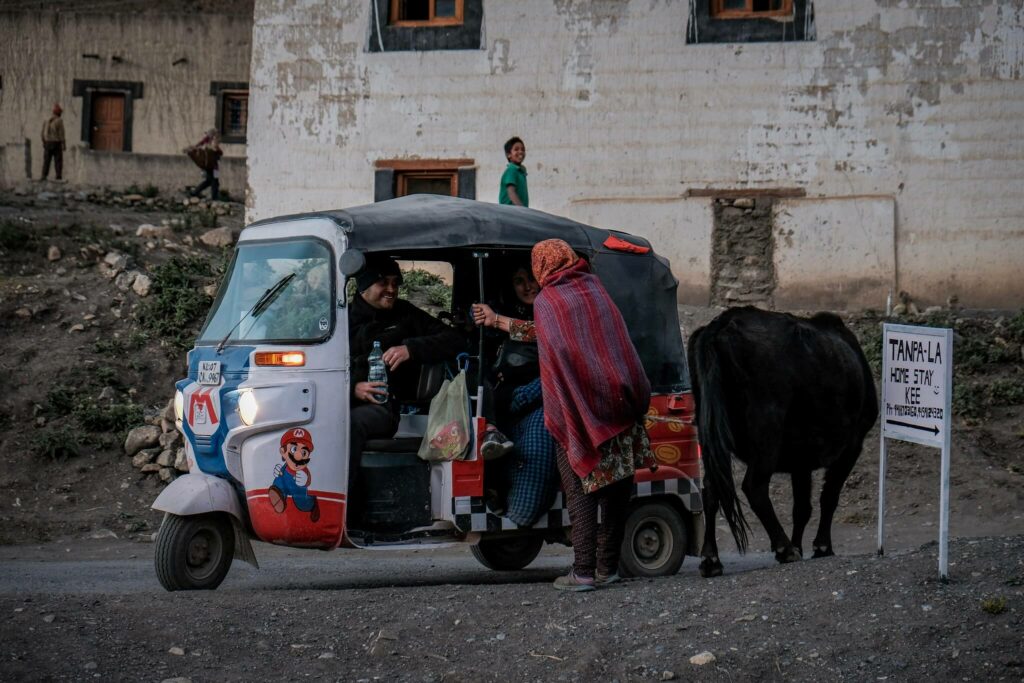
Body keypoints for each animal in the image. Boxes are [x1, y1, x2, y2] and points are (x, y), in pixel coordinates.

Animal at [684, 305, 876, 577]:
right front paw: (821, 546)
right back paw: (784, 548)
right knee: (754, 486)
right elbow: (829, 496)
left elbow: (802, 507)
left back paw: (711, 559)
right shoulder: (852, 444)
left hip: (711, 435)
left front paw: (802, 544)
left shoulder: (802, 459)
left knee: (712, 489)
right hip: (767, 432)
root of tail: (720, 325)